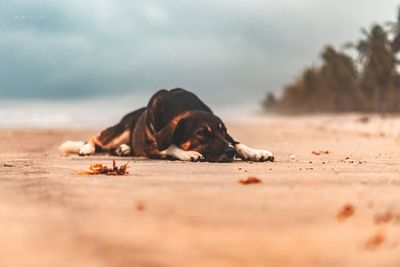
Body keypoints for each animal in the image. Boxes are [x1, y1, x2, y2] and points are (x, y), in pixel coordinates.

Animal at [59, 89, 274, 162]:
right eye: (201, 133)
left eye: (224, 131)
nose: (231, 153)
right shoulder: (151, 143)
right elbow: (169, 145)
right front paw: (188, 154)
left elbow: (238, 142)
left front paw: (257, 152)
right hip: (118, 130)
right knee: (96, 138)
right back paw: (86, 148)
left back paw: (124, 149)